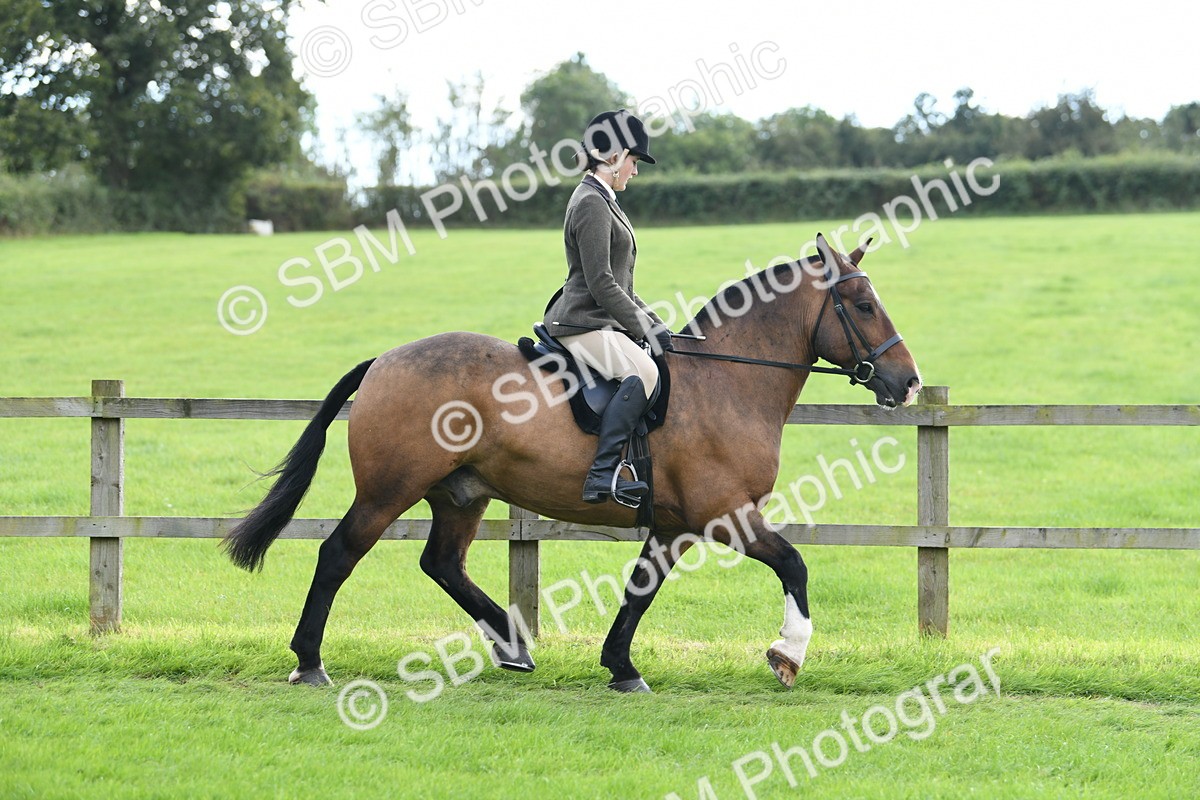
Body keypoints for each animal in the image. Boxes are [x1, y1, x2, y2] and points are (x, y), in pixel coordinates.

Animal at [222, 234, 922, 692]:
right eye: (863, 305)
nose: (908, 383)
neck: (727, 381)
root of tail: (384, 361)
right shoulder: (725, 514)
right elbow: (795, 564)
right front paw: (787, 654)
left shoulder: (673, 526)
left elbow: (640, 590)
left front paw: (622, 668)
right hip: (388, 491)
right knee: (339, 554)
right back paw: (309, 662)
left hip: (460, 492)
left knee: (442, 563)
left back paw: (513, 647)